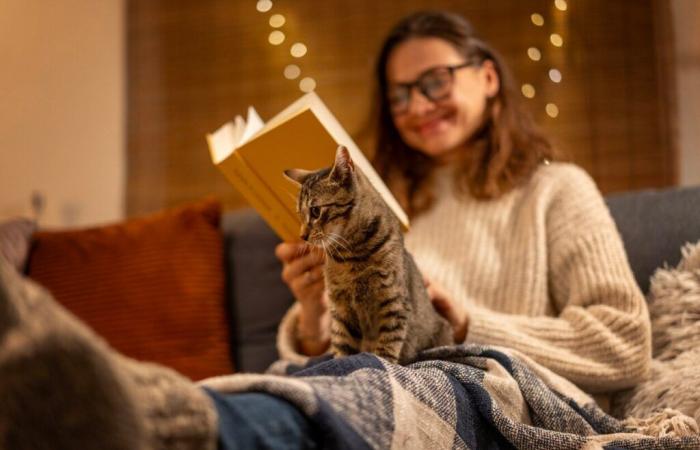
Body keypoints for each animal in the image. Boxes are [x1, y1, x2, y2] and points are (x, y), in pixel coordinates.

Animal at [284, 146, 454, 364]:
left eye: (315, 211)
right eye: (300, 214)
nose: (302, 236)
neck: (351, 254)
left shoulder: (393, 303)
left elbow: (387, 346)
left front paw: (381, 362)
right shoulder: (341, 308)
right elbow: (342, 344)